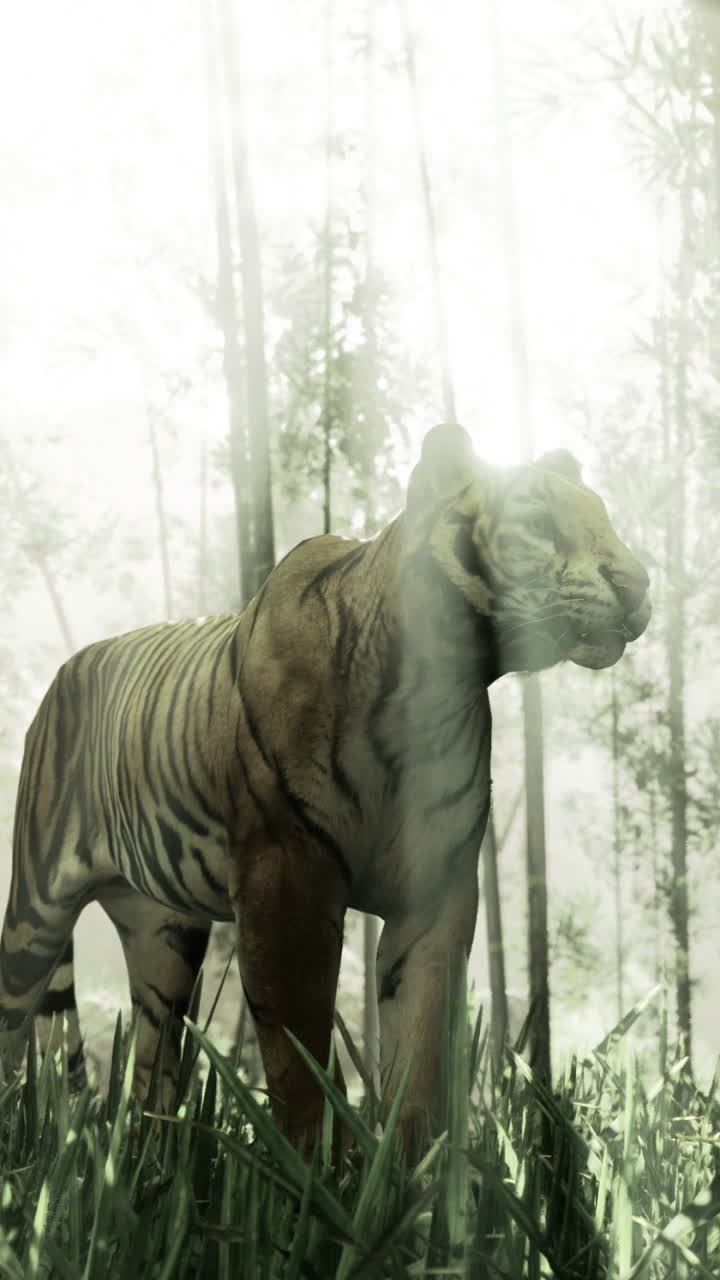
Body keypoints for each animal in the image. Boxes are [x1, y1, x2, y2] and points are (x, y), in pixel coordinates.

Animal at [0, 423, 651, 1158]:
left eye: (603, 517)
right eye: (538, 521)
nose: (638, 584)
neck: (435, 685)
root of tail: (70, 665)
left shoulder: (438, 889)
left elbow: (422, 1043)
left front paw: (411, 1171)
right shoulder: (287, 875)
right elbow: (301, 1049)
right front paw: (320, 1173)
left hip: (161, 933)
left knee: (152, 1057)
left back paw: (152, 1157)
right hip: (36, 909)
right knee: (14, 1019)